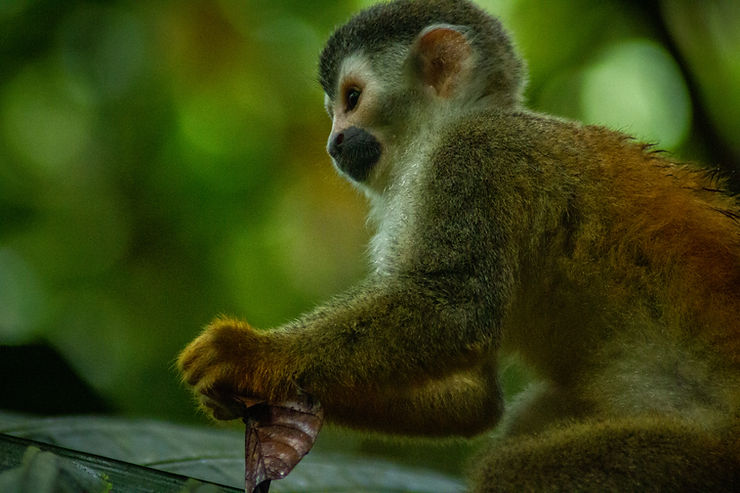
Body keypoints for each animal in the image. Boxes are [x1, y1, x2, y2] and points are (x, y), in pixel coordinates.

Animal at [176, 0, 736, 488]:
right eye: (333, 108)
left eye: (352, 99)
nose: (333, 142)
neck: (436, 134)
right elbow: (475, 394)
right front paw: (249, 390)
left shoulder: (472, 158)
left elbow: (456, 309)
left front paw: (251, 354)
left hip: (711, 456)